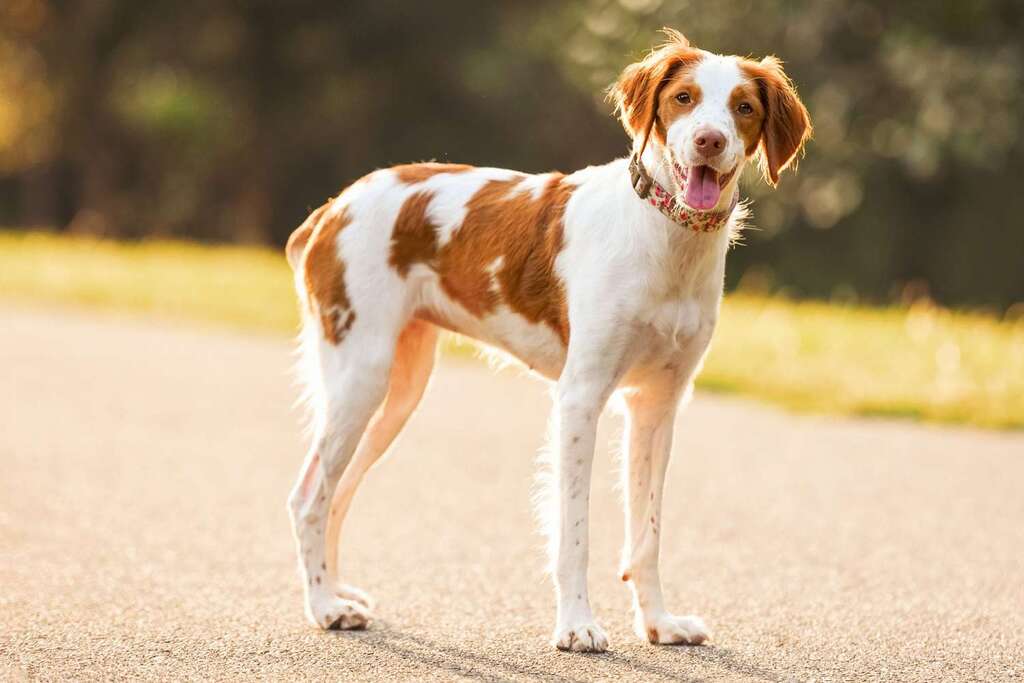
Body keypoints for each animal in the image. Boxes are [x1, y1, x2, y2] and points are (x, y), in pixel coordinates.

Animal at [282, 29, 806, 655]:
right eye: (683, 98)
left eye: (743, 107)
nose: (709, 140)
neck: (665, 239)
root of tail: (333, 207)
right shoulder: (581, 396)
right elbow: (574, 531)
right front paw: (577, 624)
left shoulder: (657, 404)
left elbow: (647, 534)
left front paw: (659, 623)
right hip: (360, 373)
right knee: (309, 496)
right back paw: (322, 607)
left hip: (398, 390)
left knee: (337, 492)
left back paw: (337, 593)